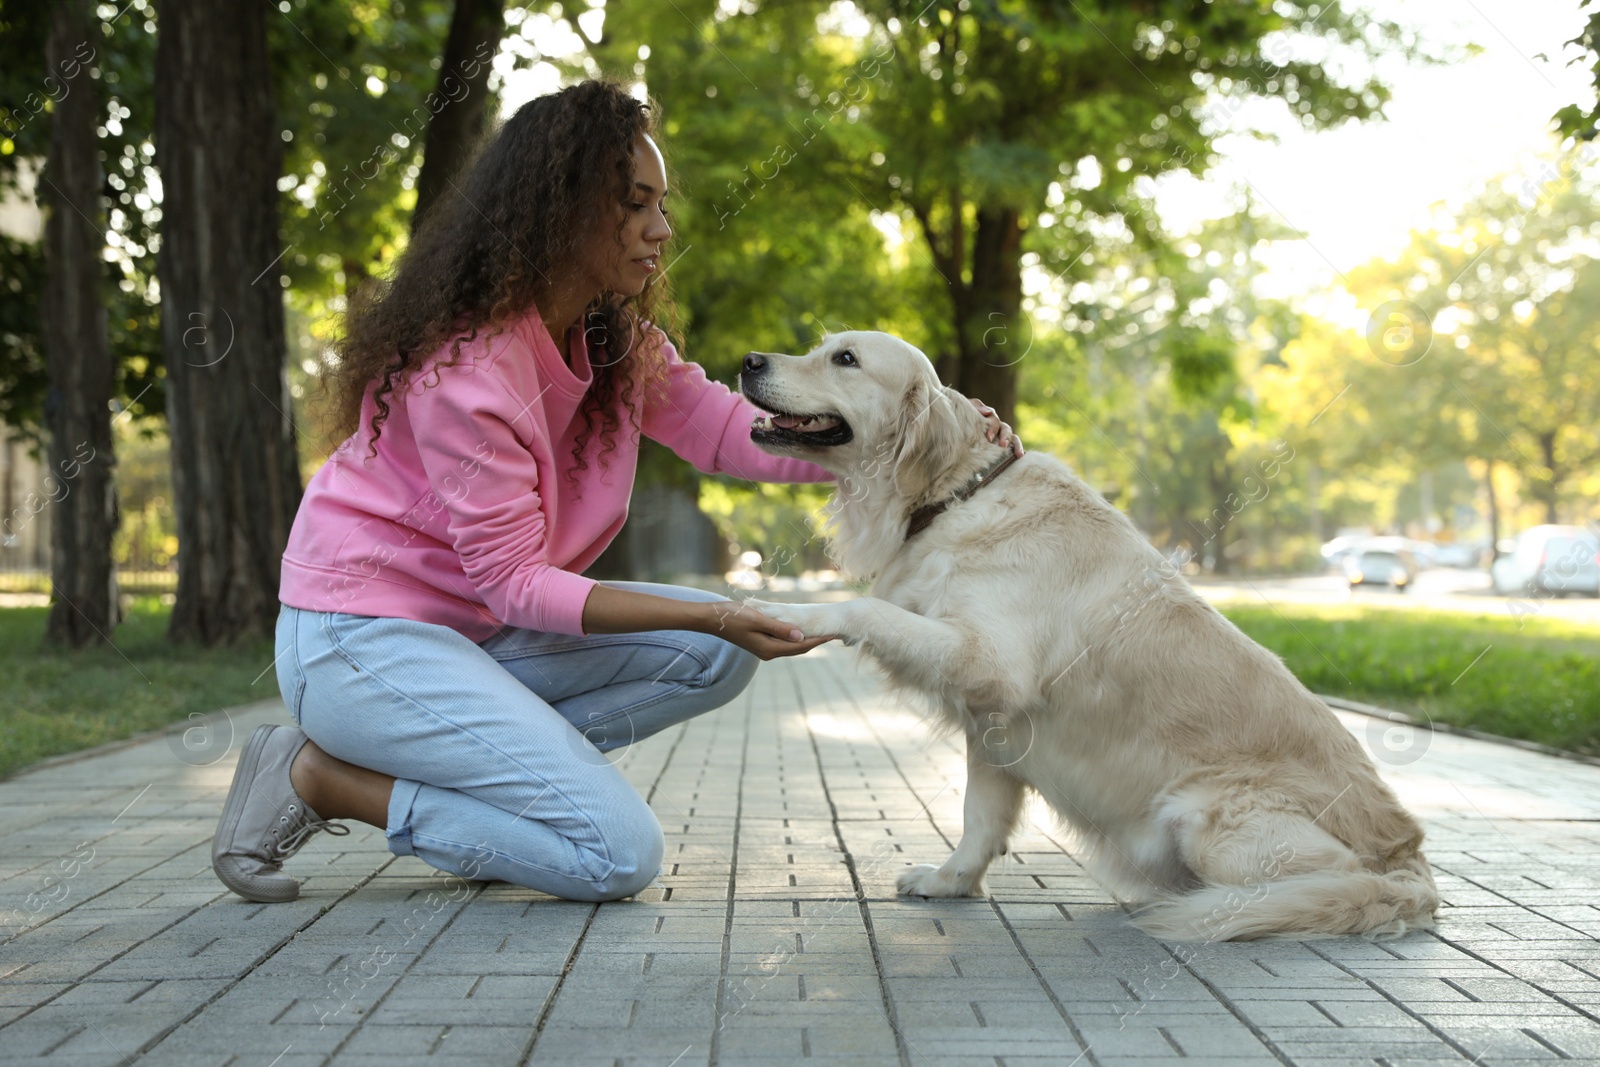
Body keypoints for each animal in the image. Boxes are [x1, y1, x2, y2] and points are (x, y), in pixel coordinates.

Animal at [736, 329, 1440, 940]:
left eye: (845, 358)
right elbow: (979, 819)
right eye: (822, 346)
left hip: (1207, 818)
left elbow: (867, 610)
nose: (746, 360)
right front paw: (951, 881)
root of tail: (1412, 867)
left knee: (1326, 883)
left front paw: (797, 612)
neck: (960, 495)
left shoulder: (991, 663)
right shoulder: (991, 724)